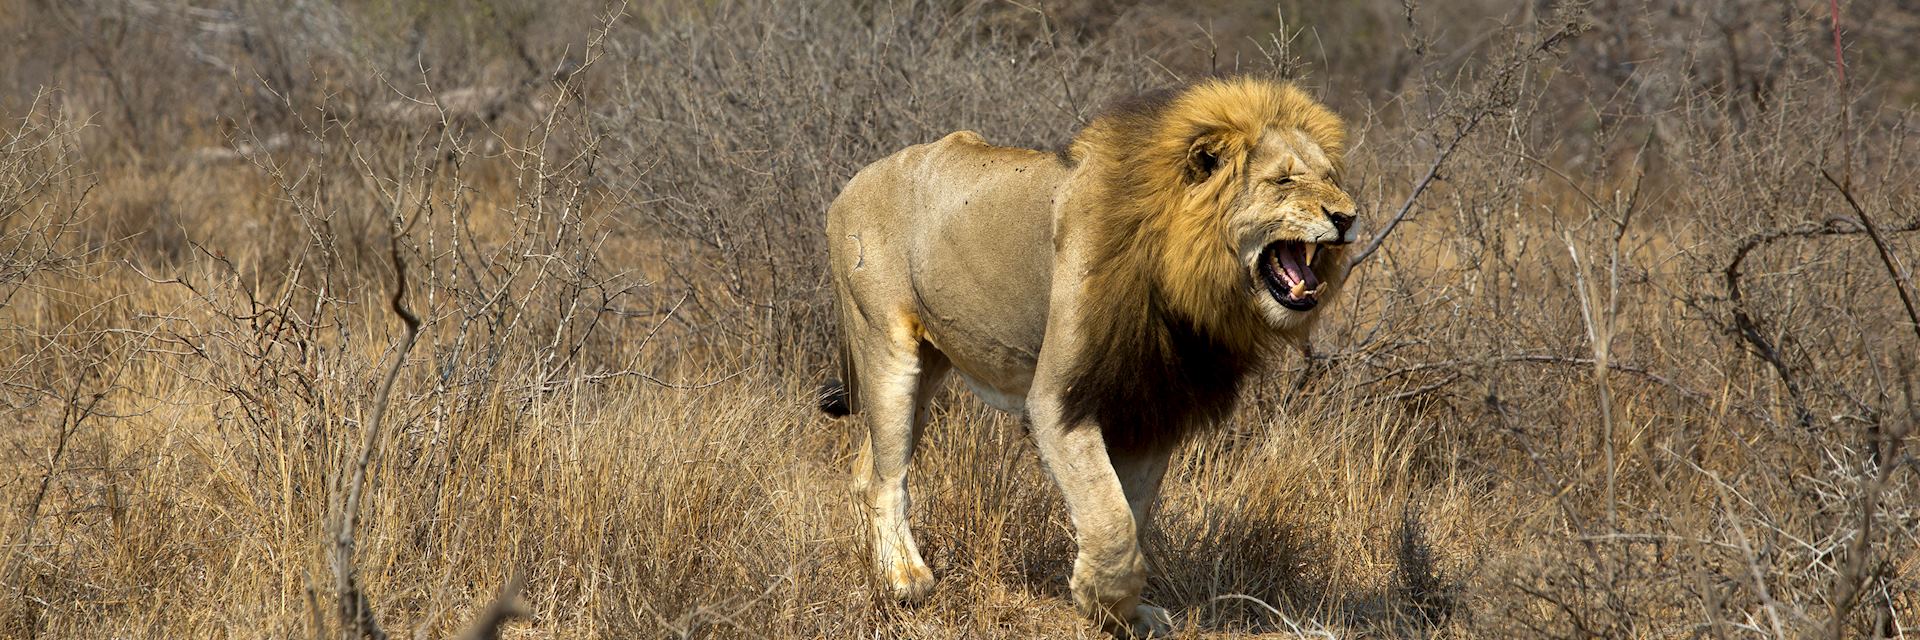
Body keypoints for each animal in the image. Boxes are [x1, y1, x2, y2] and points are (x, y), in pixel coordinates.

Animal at [817, 77, 1359, 634]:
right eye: (1283, 181)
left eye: (1329, 177)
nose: (1347, 217)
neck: (1183, 281)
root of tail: (848, 187)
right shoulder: (1059, 401)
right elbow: (1111, 518)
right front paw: (1099, 599)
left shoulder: (1154, 406)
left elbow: (1133, 514)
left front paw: (1129, 614)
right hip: (886, 347)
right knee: (885, 478)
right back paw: (904, 580)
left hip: (930, 370)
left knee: (865, 471)